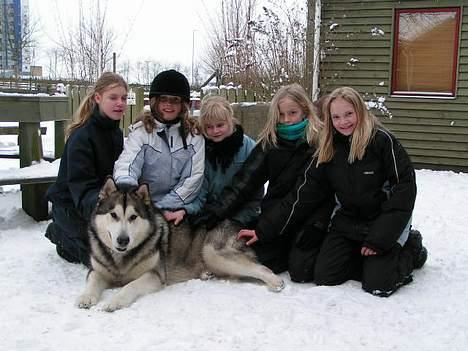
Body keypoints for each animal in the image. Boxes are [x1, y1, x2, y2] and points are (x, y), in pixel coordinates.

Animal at [76, 179, 286, 314]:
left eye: (133, 217)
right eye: (113, 215)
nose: (123, 240)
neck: (121, 259)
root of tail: (237, 223)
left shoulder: (155, 275)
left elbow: (130, 286)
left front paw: (114, 302)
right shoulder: (97, 270)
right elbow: (93, 281)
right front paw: (86, 297)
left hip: (212, 252)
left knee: (262, 268)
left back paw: (276, 283)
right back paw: (206, 273)